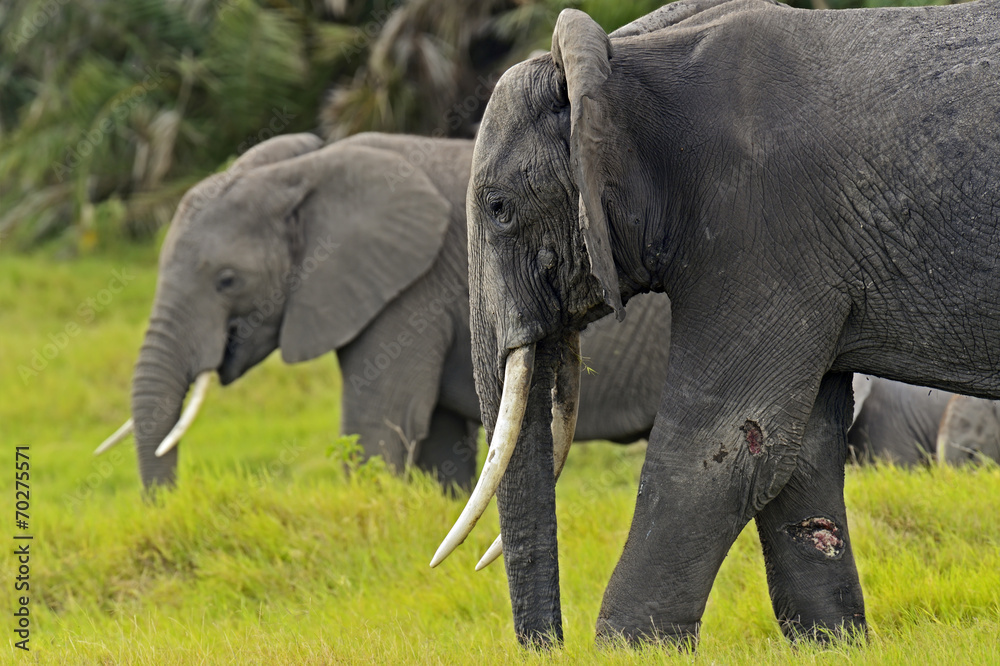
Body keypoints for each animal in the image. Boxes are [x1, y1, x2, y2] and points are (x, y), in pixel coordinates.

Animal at [98, 131, 671, 492]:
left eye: (227, 281)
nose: (167, 506)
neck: (304, 171)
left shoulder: (411, 292)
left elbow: (378, 423)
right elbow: (439, 443)